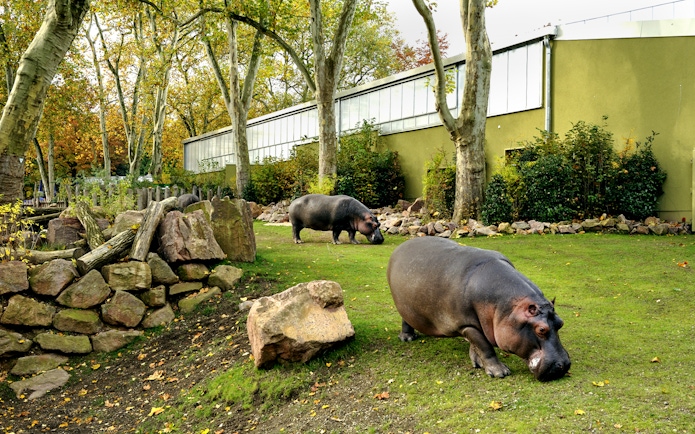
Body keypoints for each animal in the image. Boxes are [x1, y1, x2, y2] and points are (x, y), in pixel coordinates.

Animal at [387, 237, 570, 381]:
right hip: (403, 305)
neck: (507, 308)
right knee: (405, 320)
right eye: (541, 329)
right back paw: (407, 338)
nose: (564, 365)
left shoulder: (476, 325)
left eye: (561, 323)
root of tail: (401, 246)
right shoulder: (467, 324)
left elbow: (476, 345)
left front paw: (477, 363)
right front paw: (500, 373)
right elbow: (485, 346)